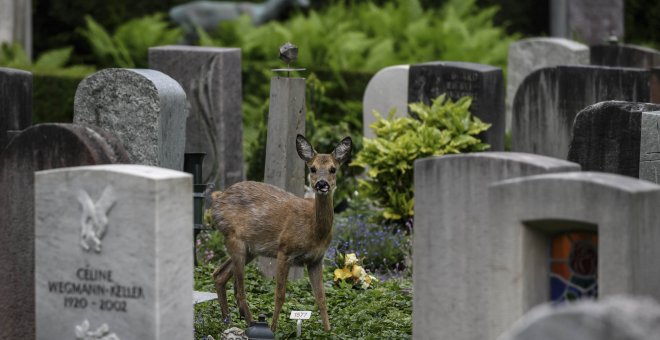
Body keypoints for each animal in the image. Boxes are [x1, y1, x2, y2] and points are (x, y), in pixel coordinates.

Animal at [209, 134, 354, 330]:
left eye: (333, 169)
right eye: (313, 168)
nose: (321, 184)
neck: (314, 230)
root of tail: (216, 200)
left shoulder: (316, 259)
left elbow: (321, 298)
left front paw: (328, 331)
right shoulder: (284, 250)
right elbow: (280, 295)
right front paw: (273, 329)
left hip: (250, 249)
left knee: (219, 274)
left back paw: (228, 322)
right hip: (234, 238)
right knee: (239, 290)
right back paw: (250, 324)